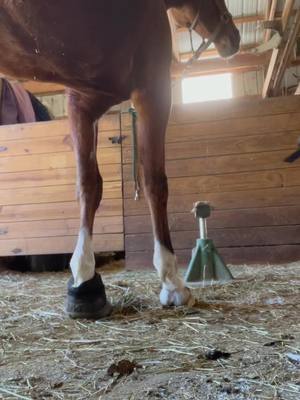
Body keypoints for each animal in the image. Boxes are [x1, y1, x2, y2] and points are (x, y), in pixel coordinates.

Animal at [0, 0, 239, 318]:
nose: (233, 37)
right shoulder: (153, 90)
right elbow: (154, 182)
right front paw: (172, 283)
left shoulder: (83, 102)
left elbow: (90, 185)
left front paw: (84, 282)